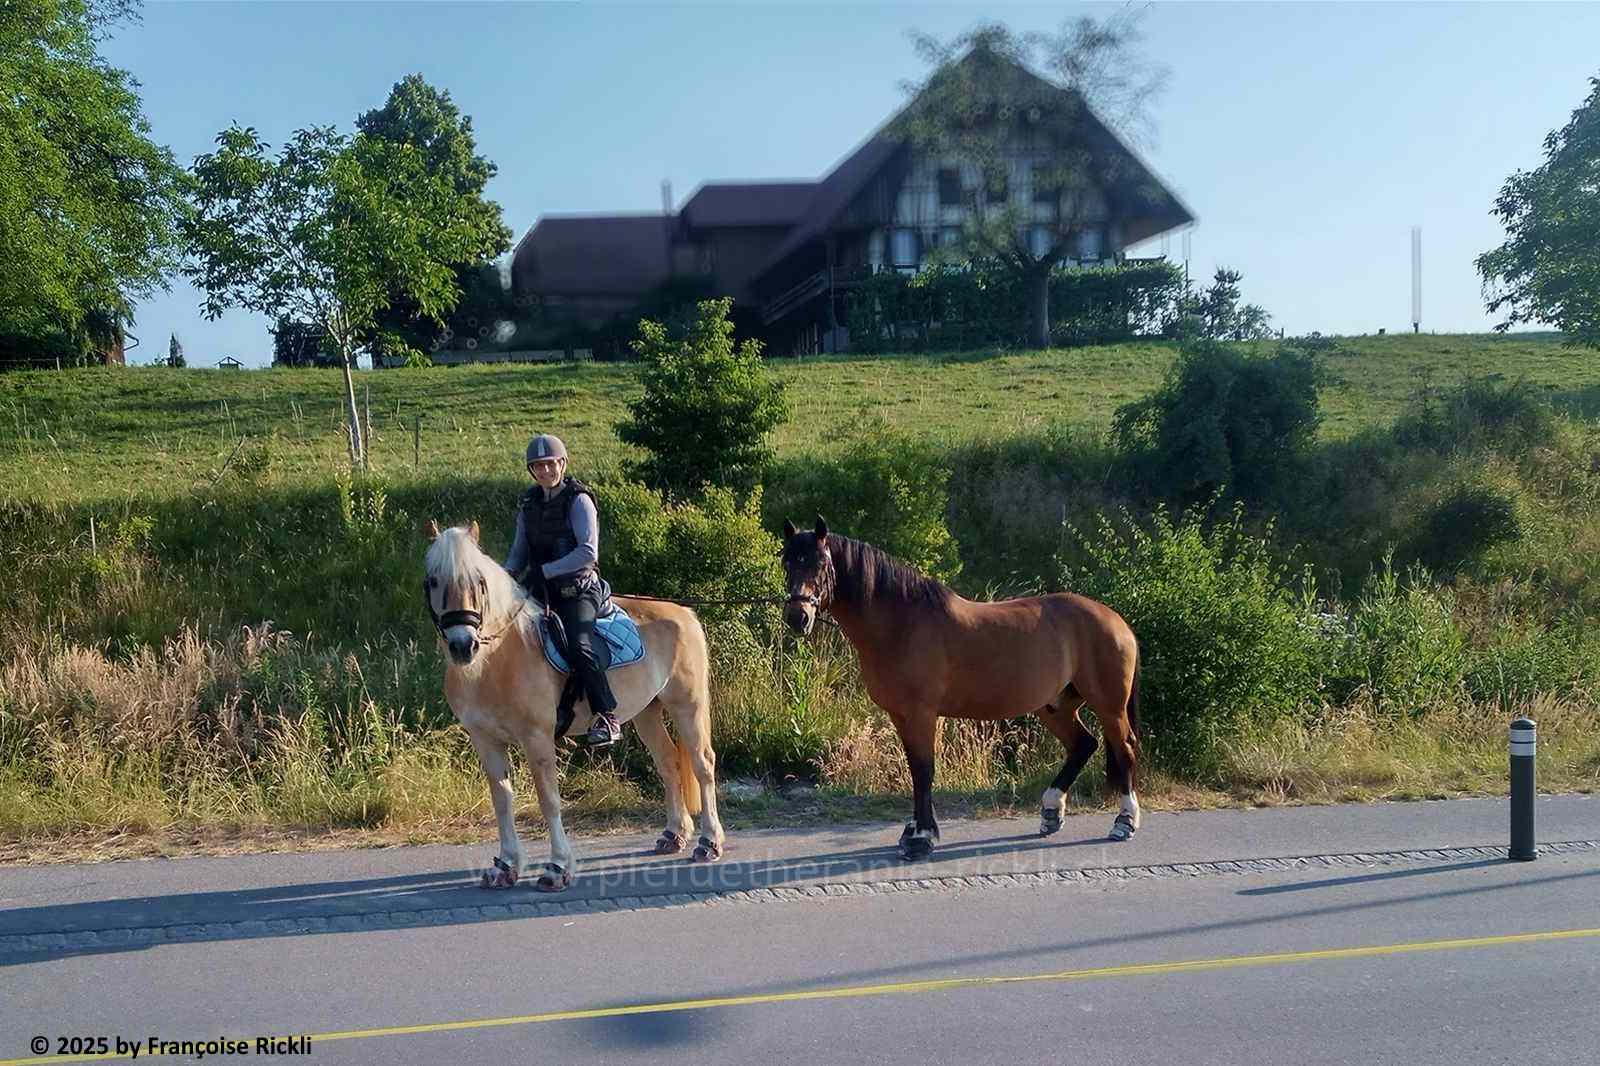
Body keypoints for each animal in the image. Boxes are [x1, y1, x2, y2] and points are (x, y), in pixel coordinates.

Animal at [422, 519, 726, 890]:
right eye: (433, 580)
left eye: (479, 582)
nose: (463, 646)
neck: (498, 658)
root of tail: (684, 612)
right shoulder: (486, 741)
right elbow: (502, 800)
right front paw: (505, 866)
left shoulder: (537, 738)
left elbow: (549, 800)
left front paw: (557, 868)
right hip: (647, 712)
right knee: (668, 763)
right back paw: (673, 834)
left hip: (687, 705)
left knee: (702, 764)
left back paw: (709, 842)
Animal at [780, 516, 1143, 860]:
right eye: (787, 563)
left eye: (820, 563)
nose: (798, 617)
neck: (902, 622)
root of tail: (1116, 621)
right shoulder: (901, 715)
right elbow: (915, 769)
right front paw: (914, 832)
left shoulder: (921, 714)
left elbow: (924, 771)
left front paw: (921, 838)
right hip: (1055, 706)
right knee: (1083, 745)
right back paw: (1052, 813)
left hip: (1108, 706)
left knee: (1123, 749)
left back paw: (1124, 822)